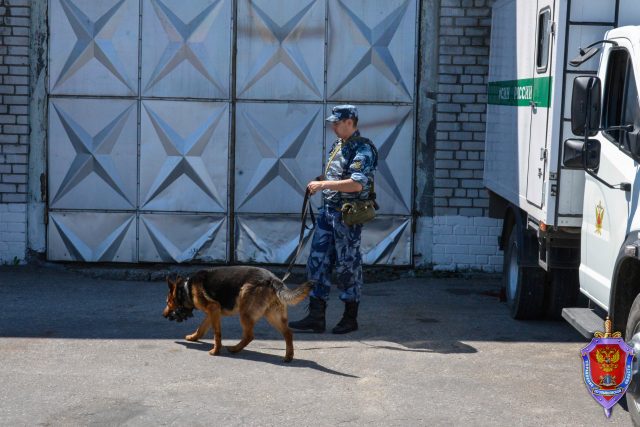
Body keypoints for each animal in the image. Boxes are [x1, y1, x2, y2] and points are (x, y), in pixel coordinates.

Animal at [162, 268, 312, 362]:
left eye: (168, 302)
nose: (163, 315)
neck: (186, 289)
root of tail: (273, 279)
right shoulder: (212, 313)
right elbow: (201, 328)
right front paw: (193, 337)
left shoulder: (213, 309)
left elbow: (217, 334)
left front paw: (216, 350)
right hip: (272, 315)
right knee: (288, 333)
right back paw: (288, 356)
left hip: (245, 313)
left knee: (249, 335)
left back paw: (235, 349)